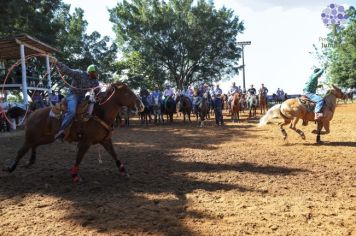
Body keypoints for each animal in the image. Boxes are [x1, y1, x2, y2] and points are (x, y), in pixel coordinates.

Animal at [3, 81, 144, 181]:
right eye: (127, 93)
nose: (141, 105)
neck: (99, 113)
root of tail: (32, 113)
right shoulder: (85, 142)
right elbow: (79, 157)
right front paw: (75, 175)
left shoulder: (105, 140)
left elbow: (115, 155)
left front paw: (124, 172)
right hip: (30, 138)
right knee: (21, 151)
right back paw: (11, 168)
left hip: (46, 138)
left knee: (34, 146)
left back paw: (30, 161)